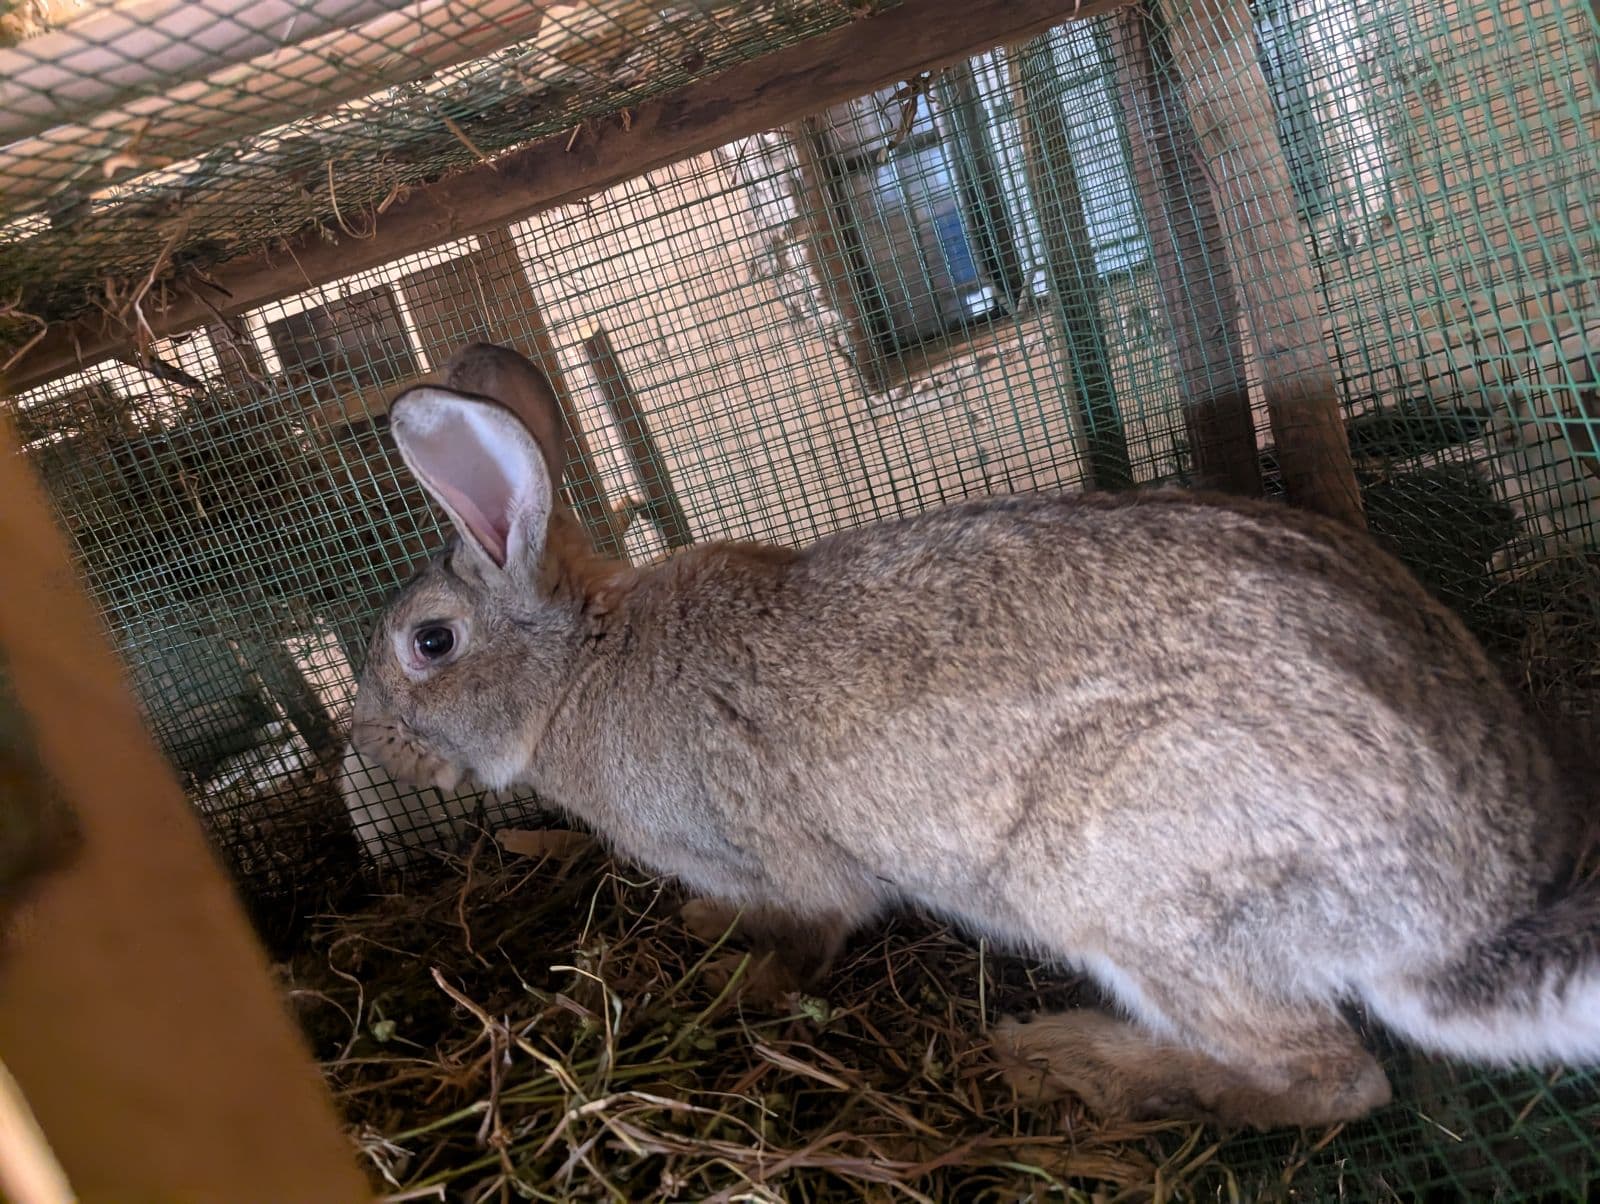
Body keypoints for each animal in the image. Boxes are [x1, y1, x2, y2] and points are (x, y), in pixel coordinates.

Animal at [348, 341, 1599, 1132]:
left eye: (428, 643)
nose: (374, 749)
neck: (579, 663)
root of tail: (1463, 916)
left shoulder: (787, 861)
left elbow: (811, 928)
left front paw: (732, 982)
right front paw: (704, 929)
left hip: (1126, 883)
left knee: (1332, 1079)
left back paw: (1070, 1064)